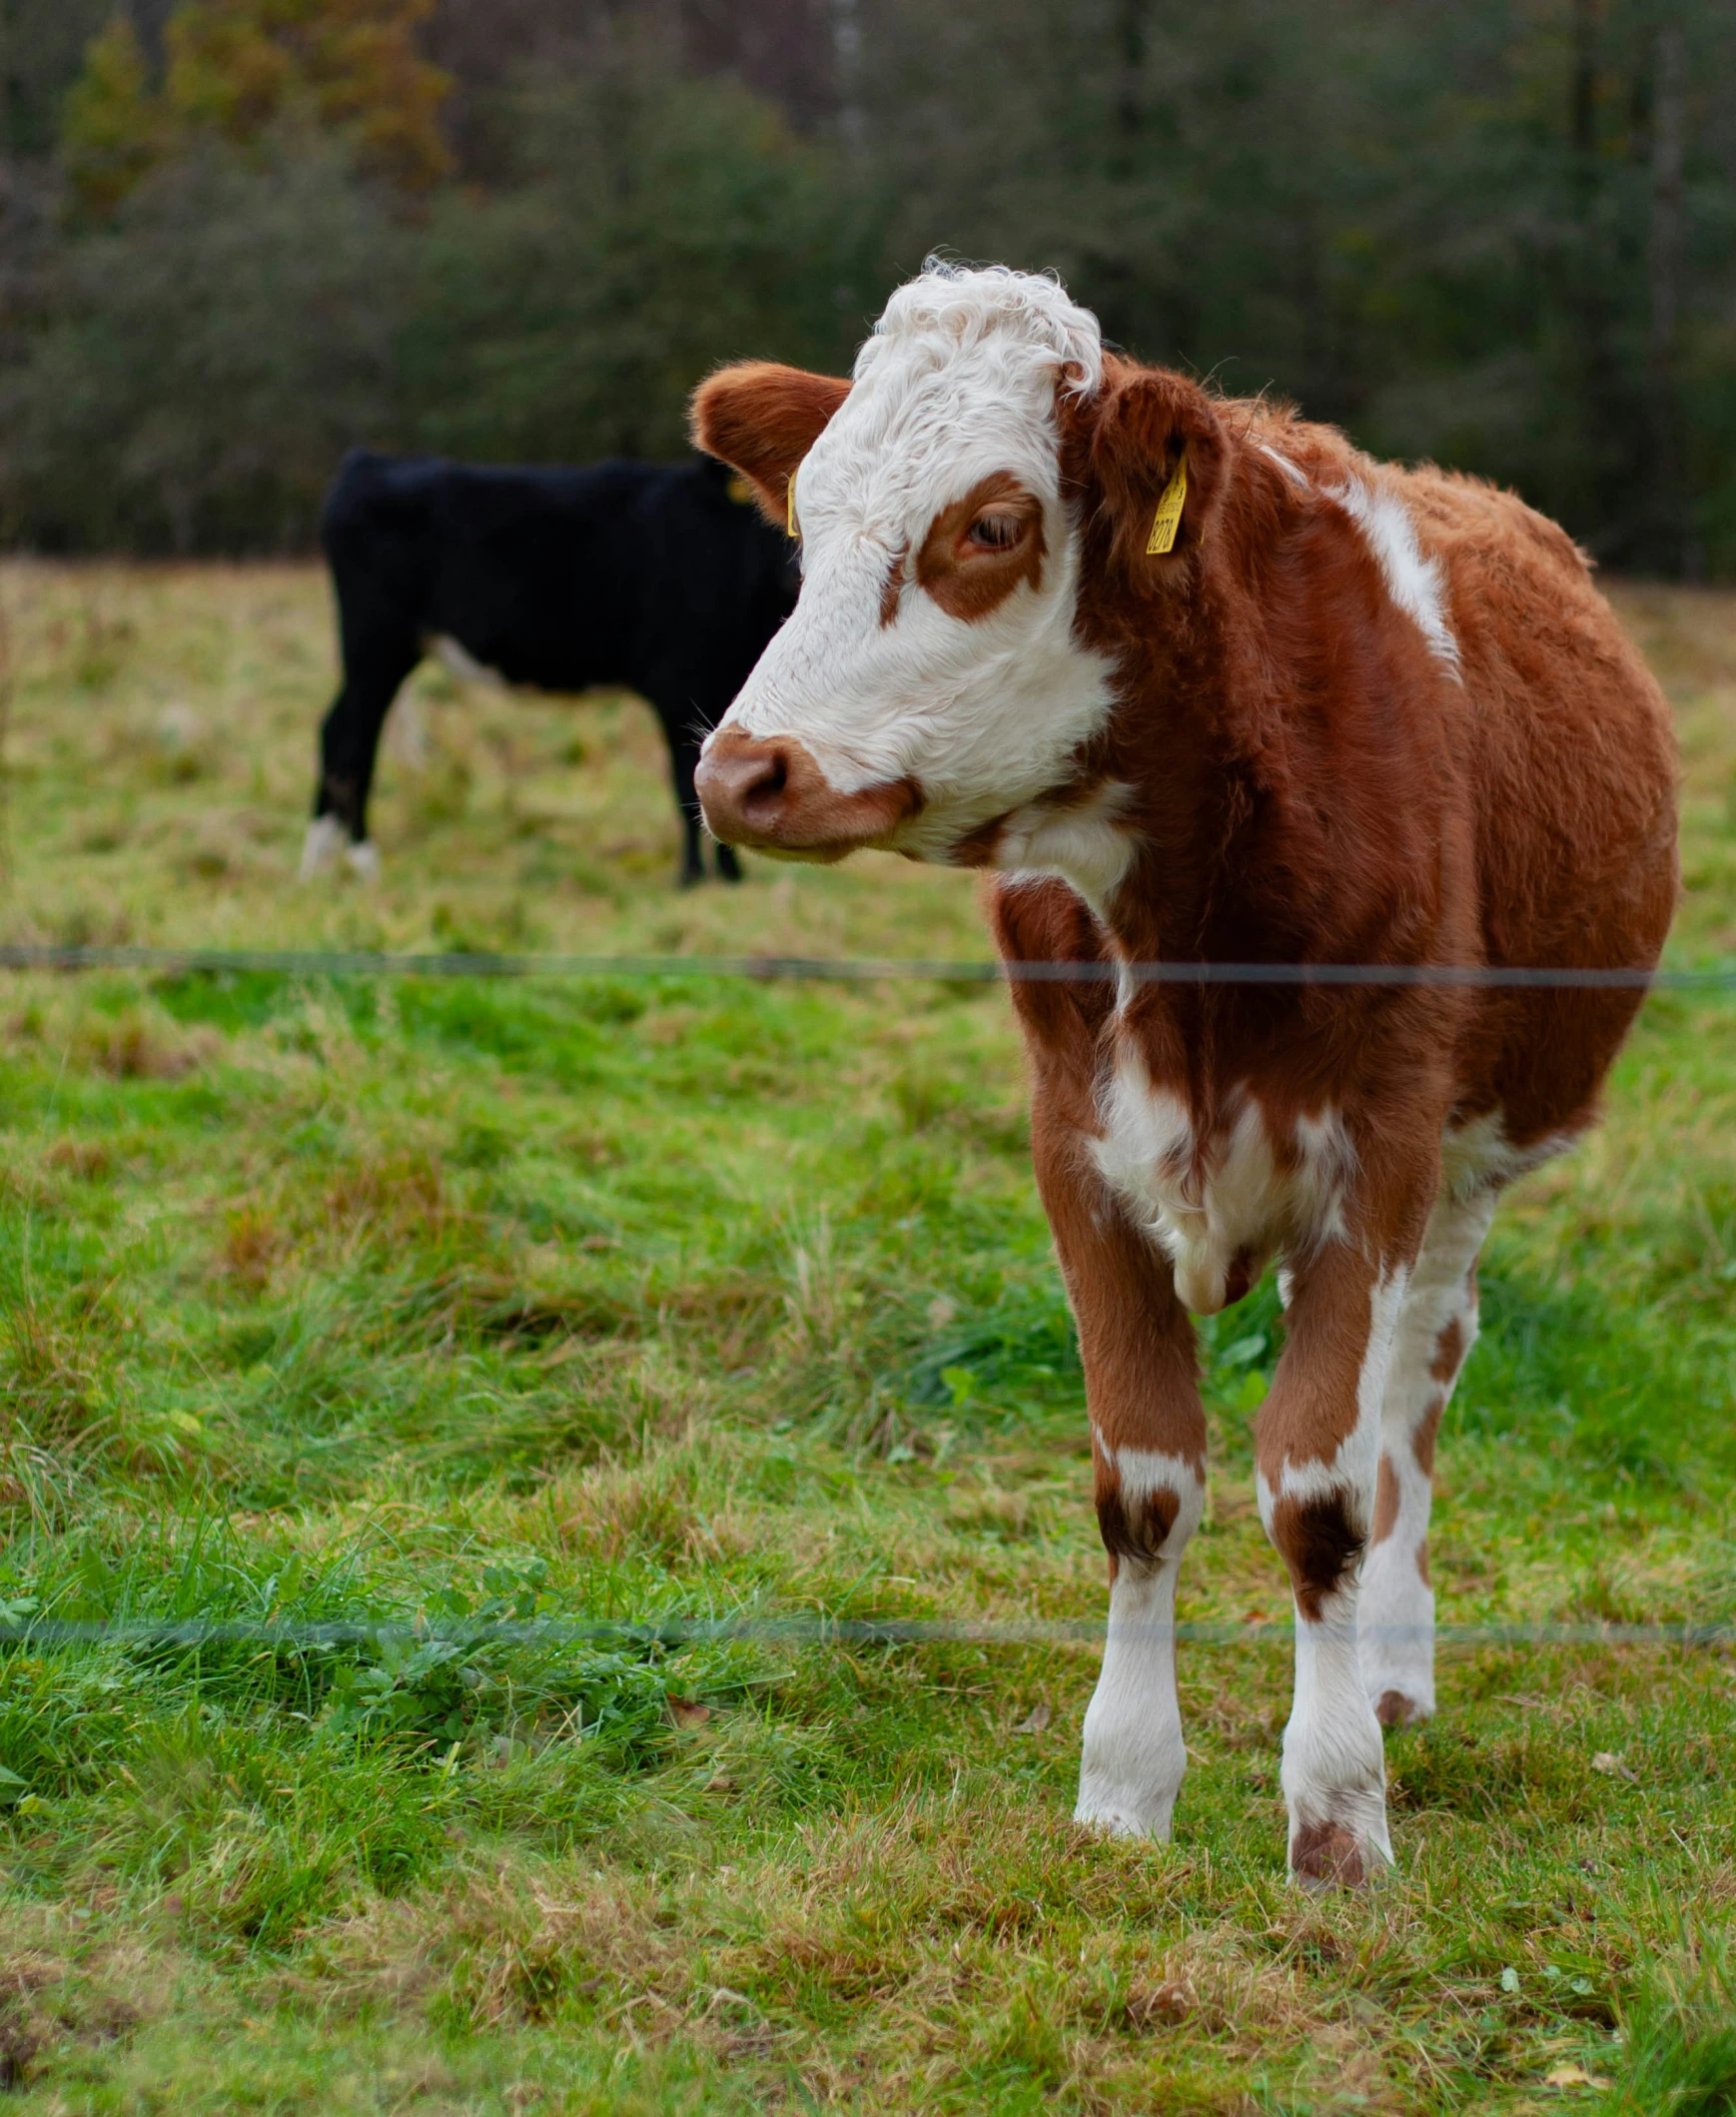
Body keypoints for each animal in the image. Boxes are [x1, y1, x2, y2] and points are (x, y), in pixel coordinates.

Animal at [305, 447, 800, 884]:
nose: (794, 573)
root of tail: (369, 461)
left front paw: (731, 877)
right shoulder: (675, 681)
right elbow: (687, 781)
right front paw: (693, 877)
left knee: (337, 732)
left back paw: (320, 864)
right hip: (376, 645)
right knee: (350, 737)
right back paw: (361, 861)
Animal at [685, 264, 1676, 1888]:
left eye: (989, 525)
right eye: (805, 518)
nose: (740, 769)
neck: (1190, 919)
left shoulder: (1380, 1149)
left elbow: (1319, 1487)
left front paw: (1334, 1811)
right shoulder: (1074, 1148)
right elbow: (1142, 1477)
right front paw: (1122, 1789)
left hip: (1471, 1164)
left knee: (1416, 1378)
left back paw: (1392, 1667)